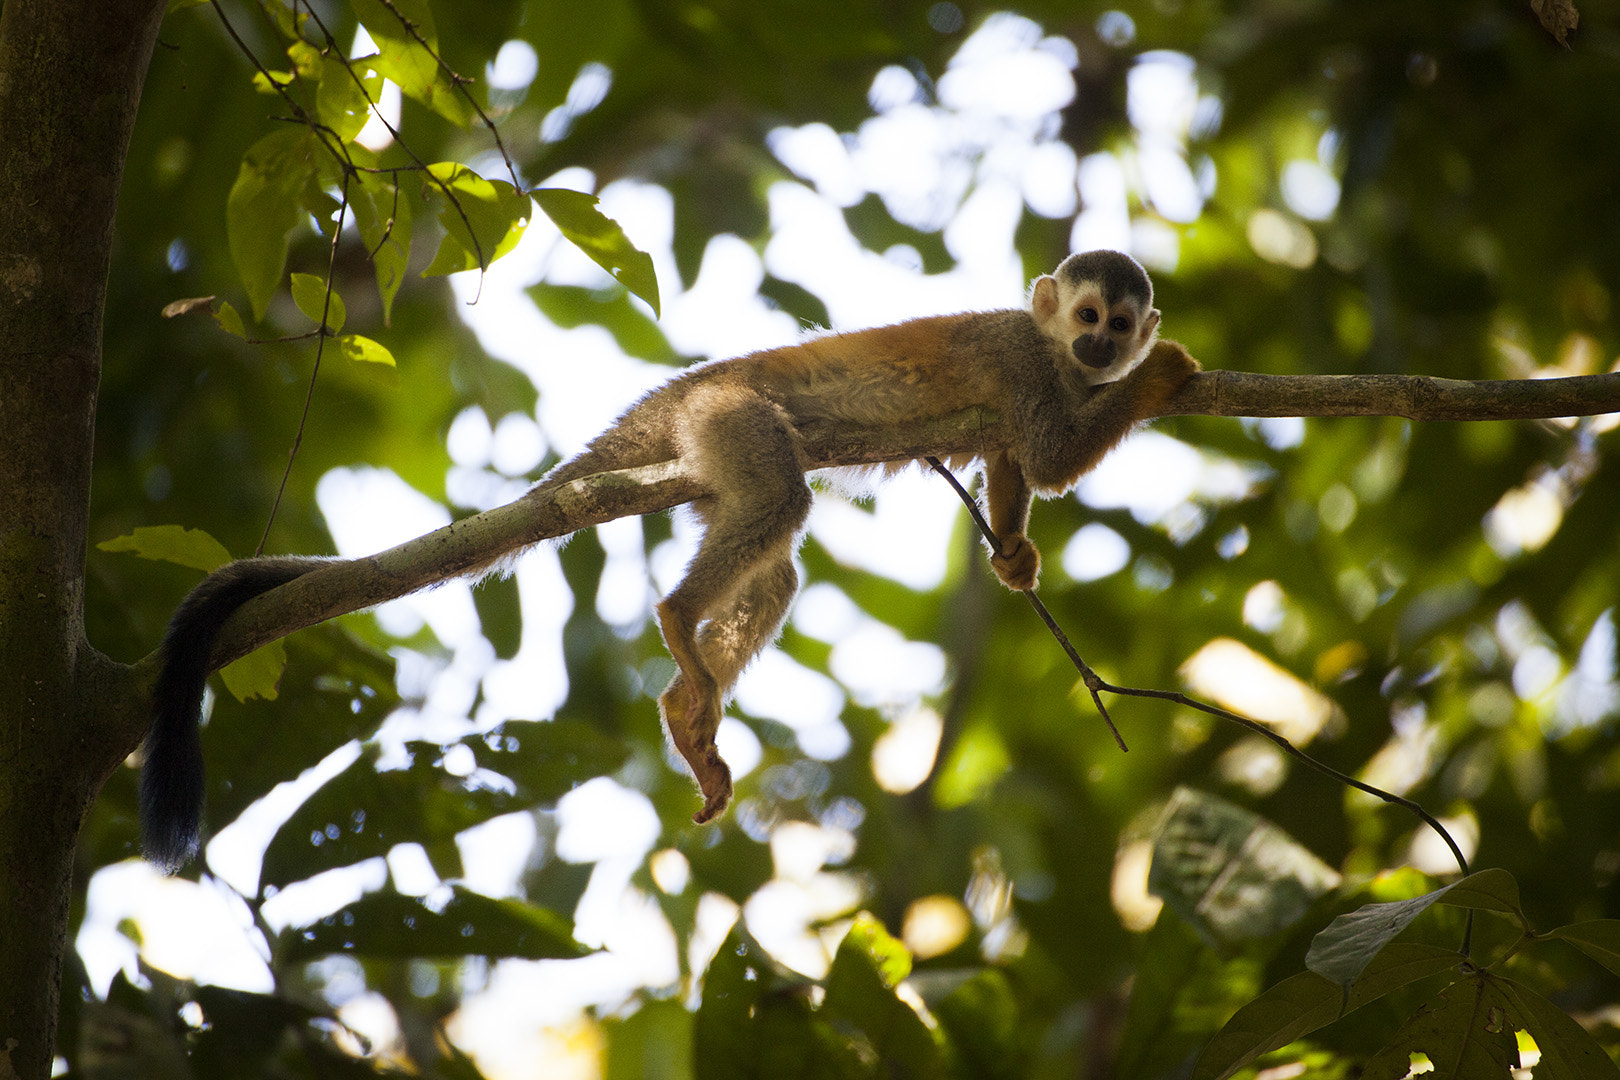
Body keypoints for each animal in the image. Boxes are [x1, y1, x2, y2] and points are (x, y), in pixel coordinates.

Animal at [139, 247, 1198, 867]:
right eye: (1088, 318)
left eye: (1116, 322)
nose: (1106, 350)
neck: (1056, 358)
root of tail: (684, 389)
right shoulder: (1025, 361)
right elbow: (1052, 450)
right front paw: (1160, 380)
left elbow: (1020, 460)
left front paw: (1014, 554)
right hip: (725, 418)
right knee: (779, 502)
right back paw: (680, 626)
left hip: (707, 460)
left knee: (777, 559)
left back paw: (691, 712)